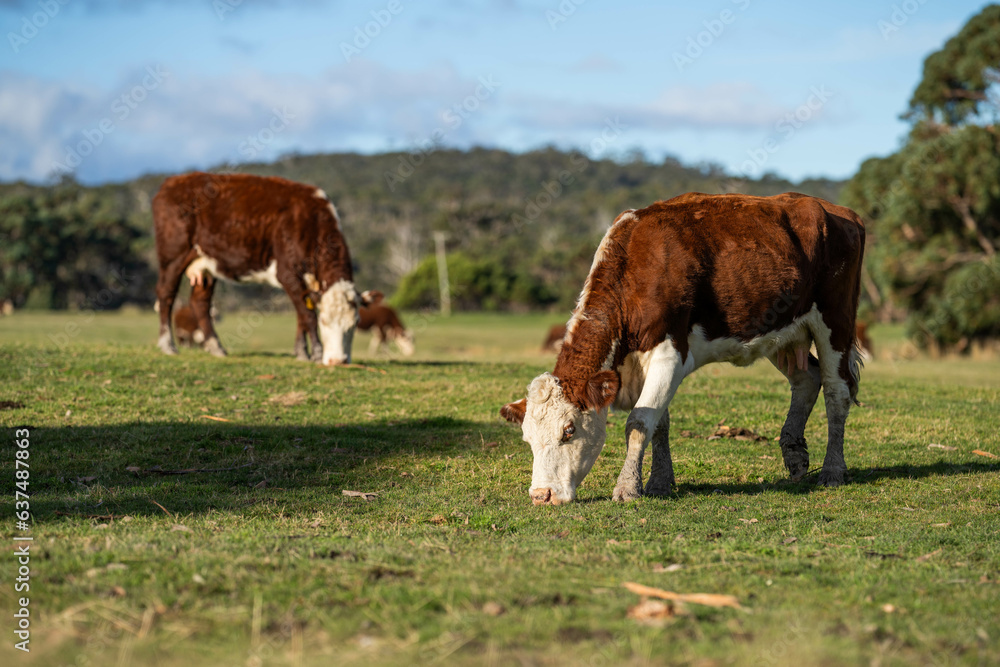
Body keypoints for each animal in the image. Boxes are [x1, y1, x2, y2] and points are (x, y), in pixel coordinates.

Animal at [153, 172, 376, 365]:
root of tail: (174, 180)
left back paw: (216, 347)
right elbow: (307, 316)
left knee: (200, 302)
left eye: (355, 323)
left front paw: (301, 352)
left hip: (206, 263)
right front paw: (316, 354)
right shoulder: (287, 273)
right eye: (325, 321)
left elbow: (300, 315)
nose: (339, 361)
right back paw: (167, 345)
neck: (312, 222)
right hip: (173, 255)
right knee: (166, 294)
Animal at [501, 192, 865, 505]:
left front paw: (627, 488)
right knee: (807, 380)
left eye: (569, 430)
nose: (541, 495)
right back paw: (794, 455)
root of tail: (840, 212)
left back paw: (833, 470)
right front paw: (659, 482)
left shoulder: (669, 353)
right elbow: (658, 422)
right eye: (527, 438)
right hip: (781, 330)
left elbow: (639, 423)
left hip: (836, 321)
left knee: (837, 391)